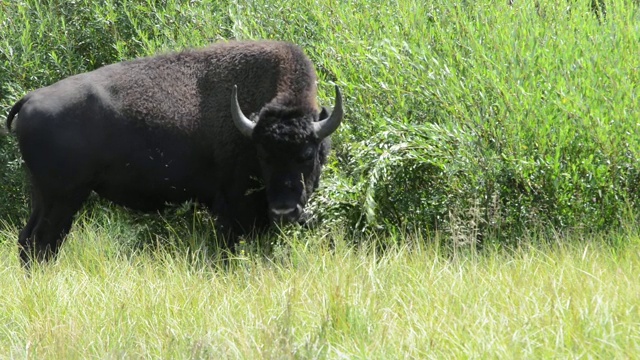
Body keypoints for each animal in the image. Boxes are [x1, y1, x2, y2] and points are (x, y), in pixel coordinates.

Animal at [6, 40, 344, 268]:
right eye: (263, 155)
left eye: (307, 153)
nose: (285, 210)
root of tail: (30, 99)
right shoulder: (231, 205)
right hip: (63, 197)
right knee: (42, 241)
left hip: (46, 196)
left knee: (31, 240)